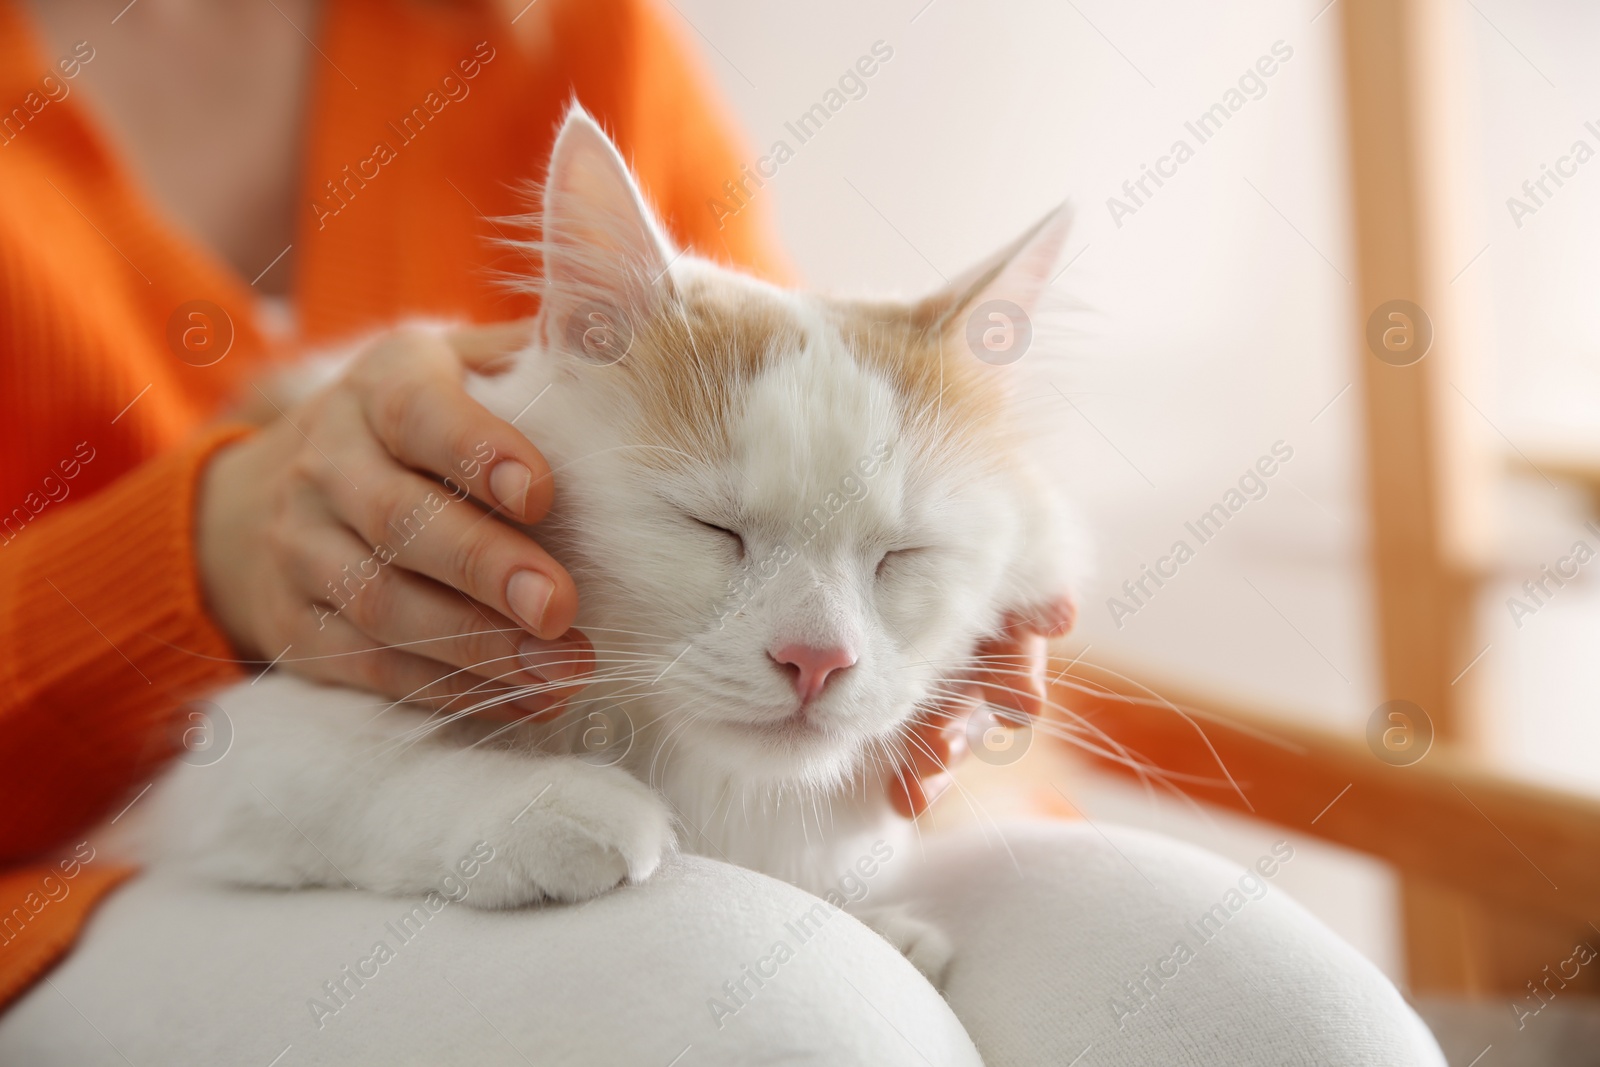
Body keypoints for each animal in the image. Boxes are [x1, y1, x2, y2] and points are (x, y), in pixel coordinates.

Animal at [116, 106, 1088, 985]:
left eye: (900, 555)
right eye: (711, 527)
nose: (815, 660)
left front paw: (887, 928)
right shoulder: (240, 753)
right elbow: (385, 774)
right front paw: (554, 806)